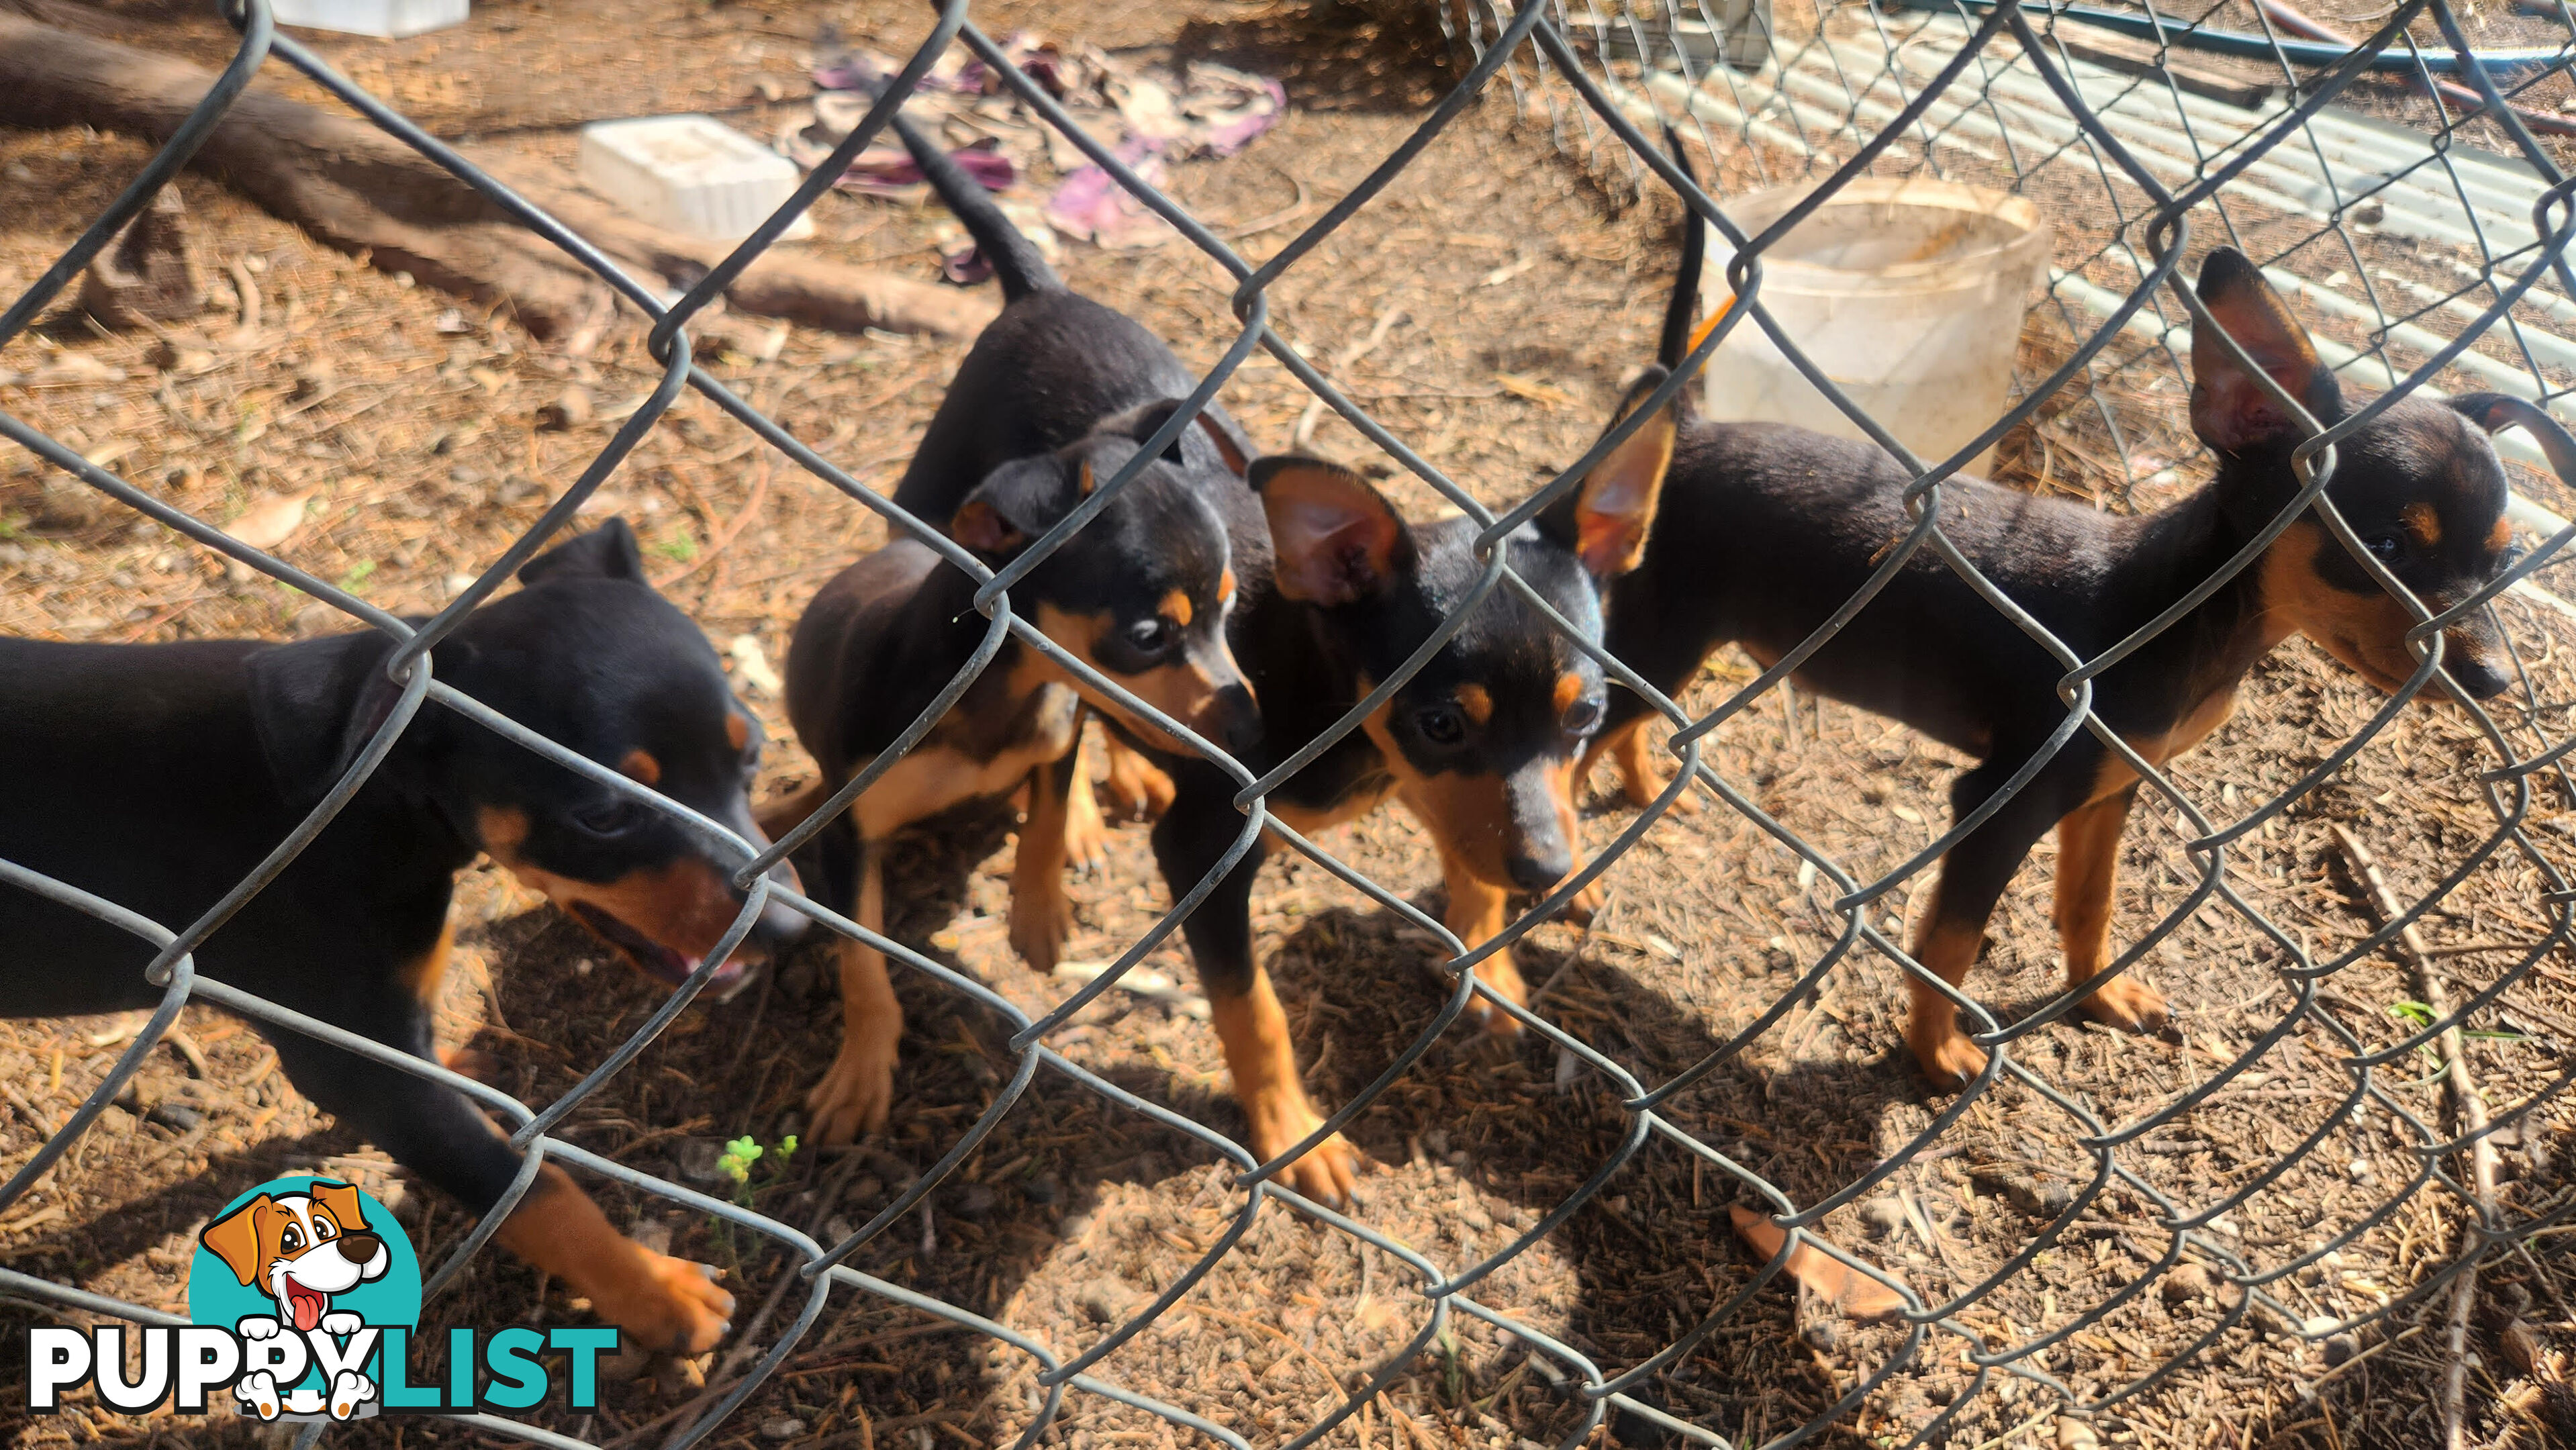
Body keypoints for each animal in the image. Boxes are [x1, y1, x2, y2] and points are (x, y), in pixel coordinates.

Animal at [0, 525, 804, 1359]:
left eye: (752, 755)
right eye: (606, 816)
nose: (790, 930)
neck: (377, 802)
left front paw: (460, 1064)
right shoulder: (357, 1069)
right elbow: (533, 1189)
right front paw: (655, 1293)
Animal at [1576, 156, 2524, 1092]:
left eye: (2505, 561)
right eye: (2386, 547)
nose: (2497, 680)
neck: (2180, 614)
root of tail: (1691, 431)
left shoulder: (2110, 786)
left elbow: (2088, 902)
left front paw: (2099, 996)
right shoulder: (1999, 804)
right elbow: (1950, 942)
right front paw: (1936, 1053)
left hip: (1674, 648)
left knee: (1627, 730)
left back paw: (1639, 793)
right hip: (1665, 636)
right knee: (1577, 742)